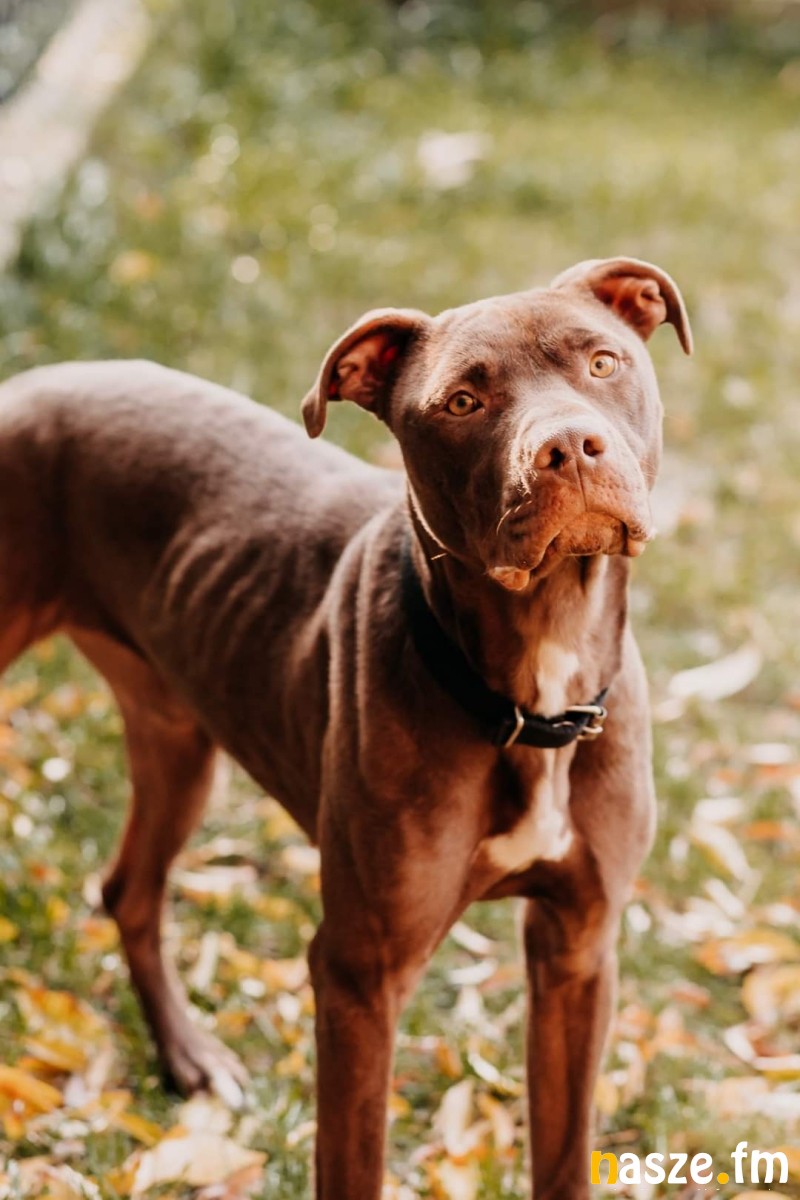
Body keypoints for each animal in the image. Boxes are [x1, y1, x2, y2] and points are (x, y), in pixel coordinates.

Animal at [0, 256, 691, 1198]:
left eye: (602, 362)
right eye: (463, 401)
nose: (569, 447)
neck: (533, 690)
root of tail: (31, 382)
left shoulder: (580, 949)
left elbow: (563, 1152)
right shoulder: (360, 975)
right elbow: (351, 1160)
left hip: (176, 734)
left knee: (131, 889)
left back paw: (187, 1058)